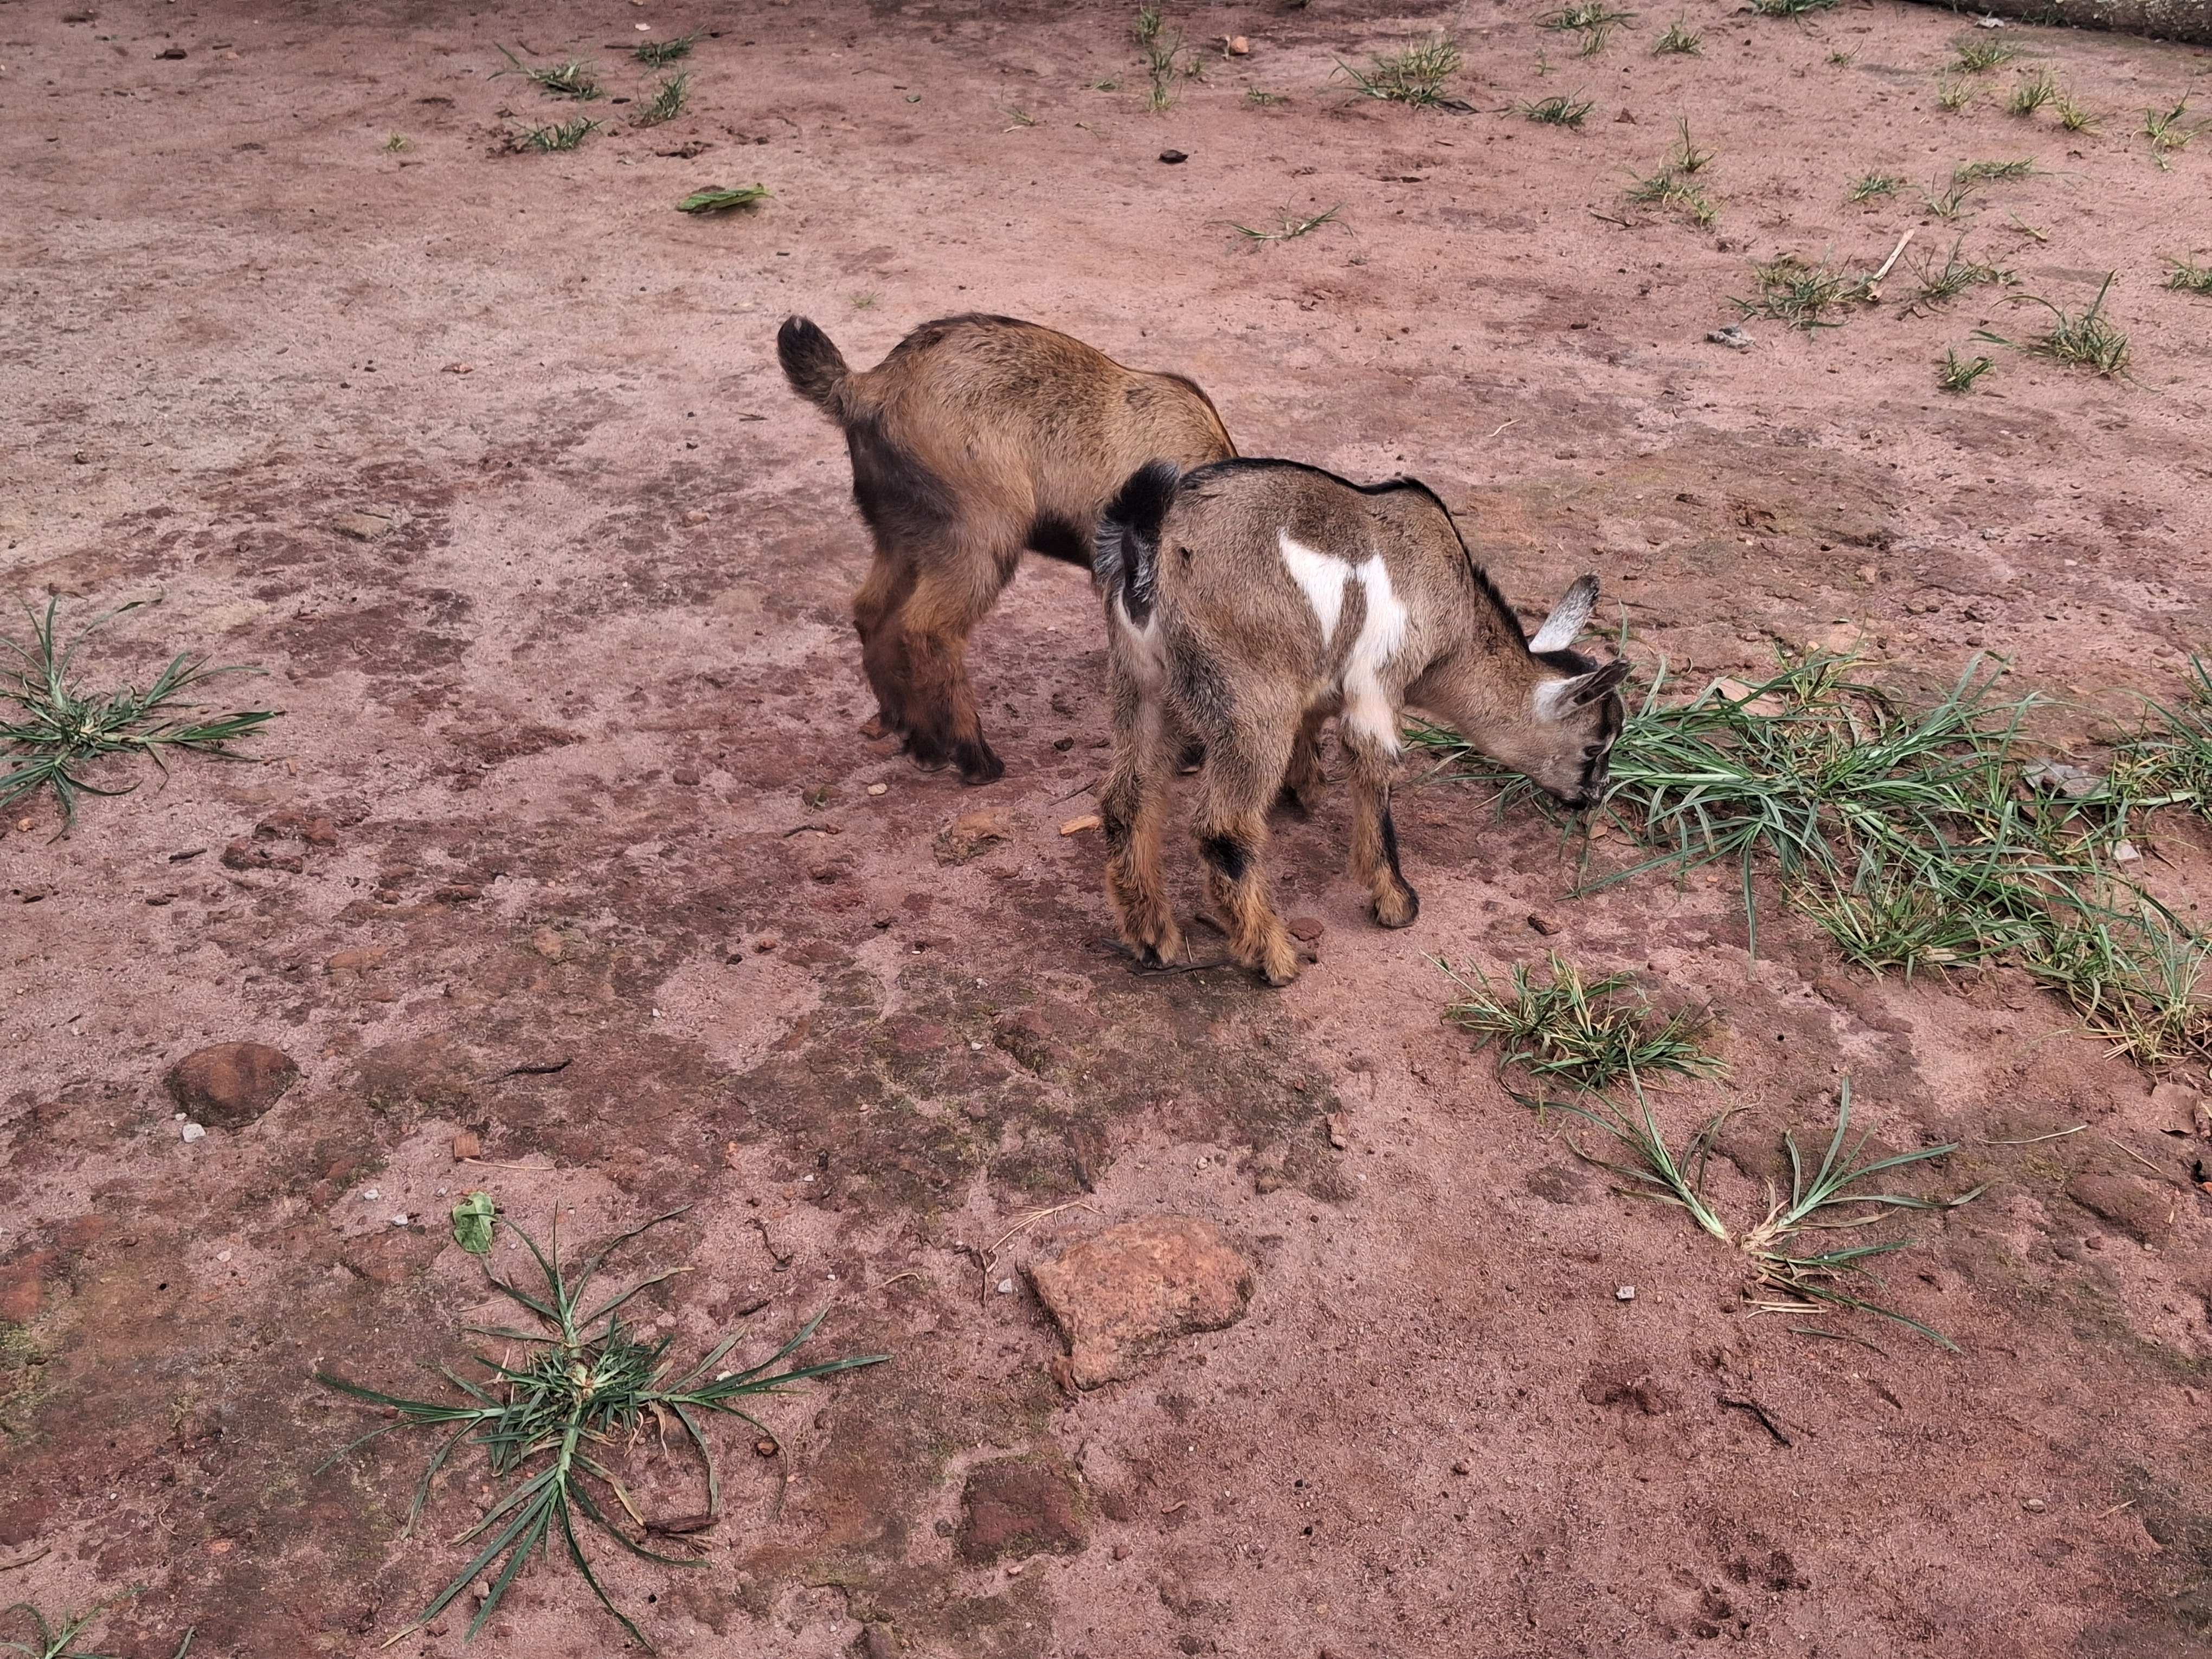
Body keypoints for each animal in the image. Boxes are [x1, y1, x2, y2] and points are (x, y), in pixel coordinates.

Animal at [776, 312, 1236, 784]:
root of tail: (870, 388)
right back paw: (973, 754)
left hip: (901, 534)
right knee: (928, 629)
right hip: (982, 534)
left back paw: (916, 736)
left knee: (874, 613)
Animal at [1094, 457, 1629, 987]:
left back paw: (1152, 937)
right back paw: (1272, 956)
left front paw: (1306, 787)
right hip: (1250, 698)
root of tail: (1153, 542)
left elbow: (1315, 720)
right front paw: (1396, 901)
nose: (1593, 798)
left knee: (1128, 799)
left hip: (1140, 682)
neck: (1454, 616)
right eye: (1594, 747)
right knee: (1223, 827)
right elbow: (1375, 768)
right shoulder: (1378, 681)